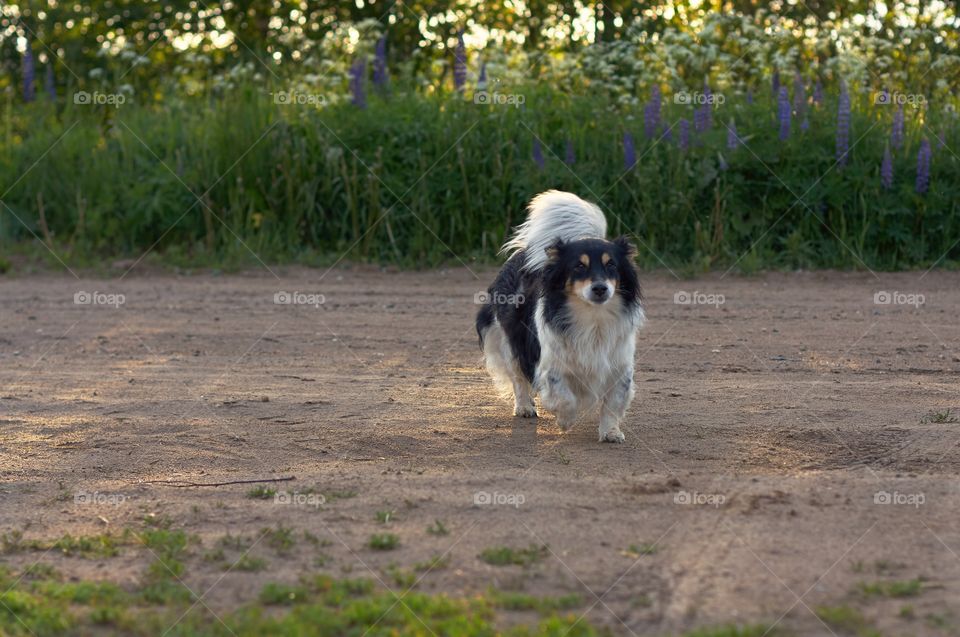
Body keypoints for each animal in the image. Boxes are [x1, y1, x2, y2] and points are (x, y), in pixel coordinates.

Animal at [474, 189, 644, 442]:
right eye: (579, 266)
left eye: (611, 265)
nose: (600, 288)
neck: (592, 318)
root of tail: (524, 252)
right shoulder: (550, 365)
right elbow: (563, 396)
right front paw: (565, 421)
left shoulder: (619, 365)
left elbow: (613, 403)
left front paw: (611, 432)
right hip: (506, 337)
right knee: (517, 376)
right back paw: (524, 407)